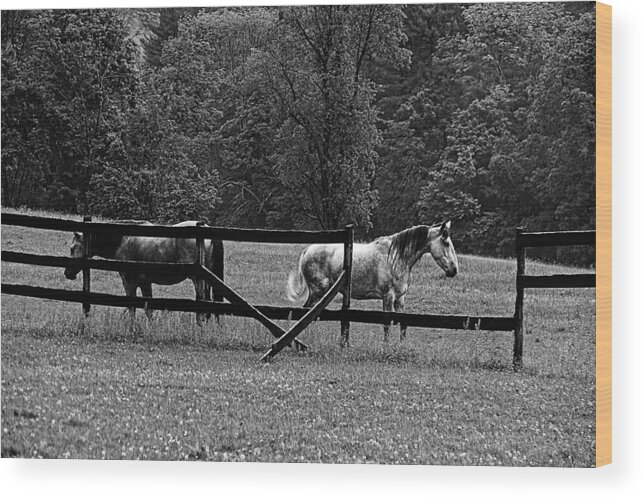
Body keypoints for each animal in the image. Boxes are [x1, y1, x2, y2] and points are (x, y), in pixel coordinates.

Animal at [63, 221, 224, 326]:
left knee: (202, 300)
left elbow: (132, 306)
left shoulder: (129, 282)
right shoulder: (145, 283)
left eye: (72, 248)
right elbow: (149, 309)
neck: (123, 239)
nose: (67, 273)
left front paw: (132, 327)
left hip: (198, 279)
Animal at [286, 222, 458, 340]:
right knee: (307, 312)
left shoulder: (400, 298)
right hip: (318, 291)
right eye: (446, 242)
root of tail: (308, 250)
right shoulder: (388, 297)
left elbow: (403, 324)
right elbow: (387, 324)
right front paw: (386, 347)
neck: (395, 257)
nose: (454, 270)